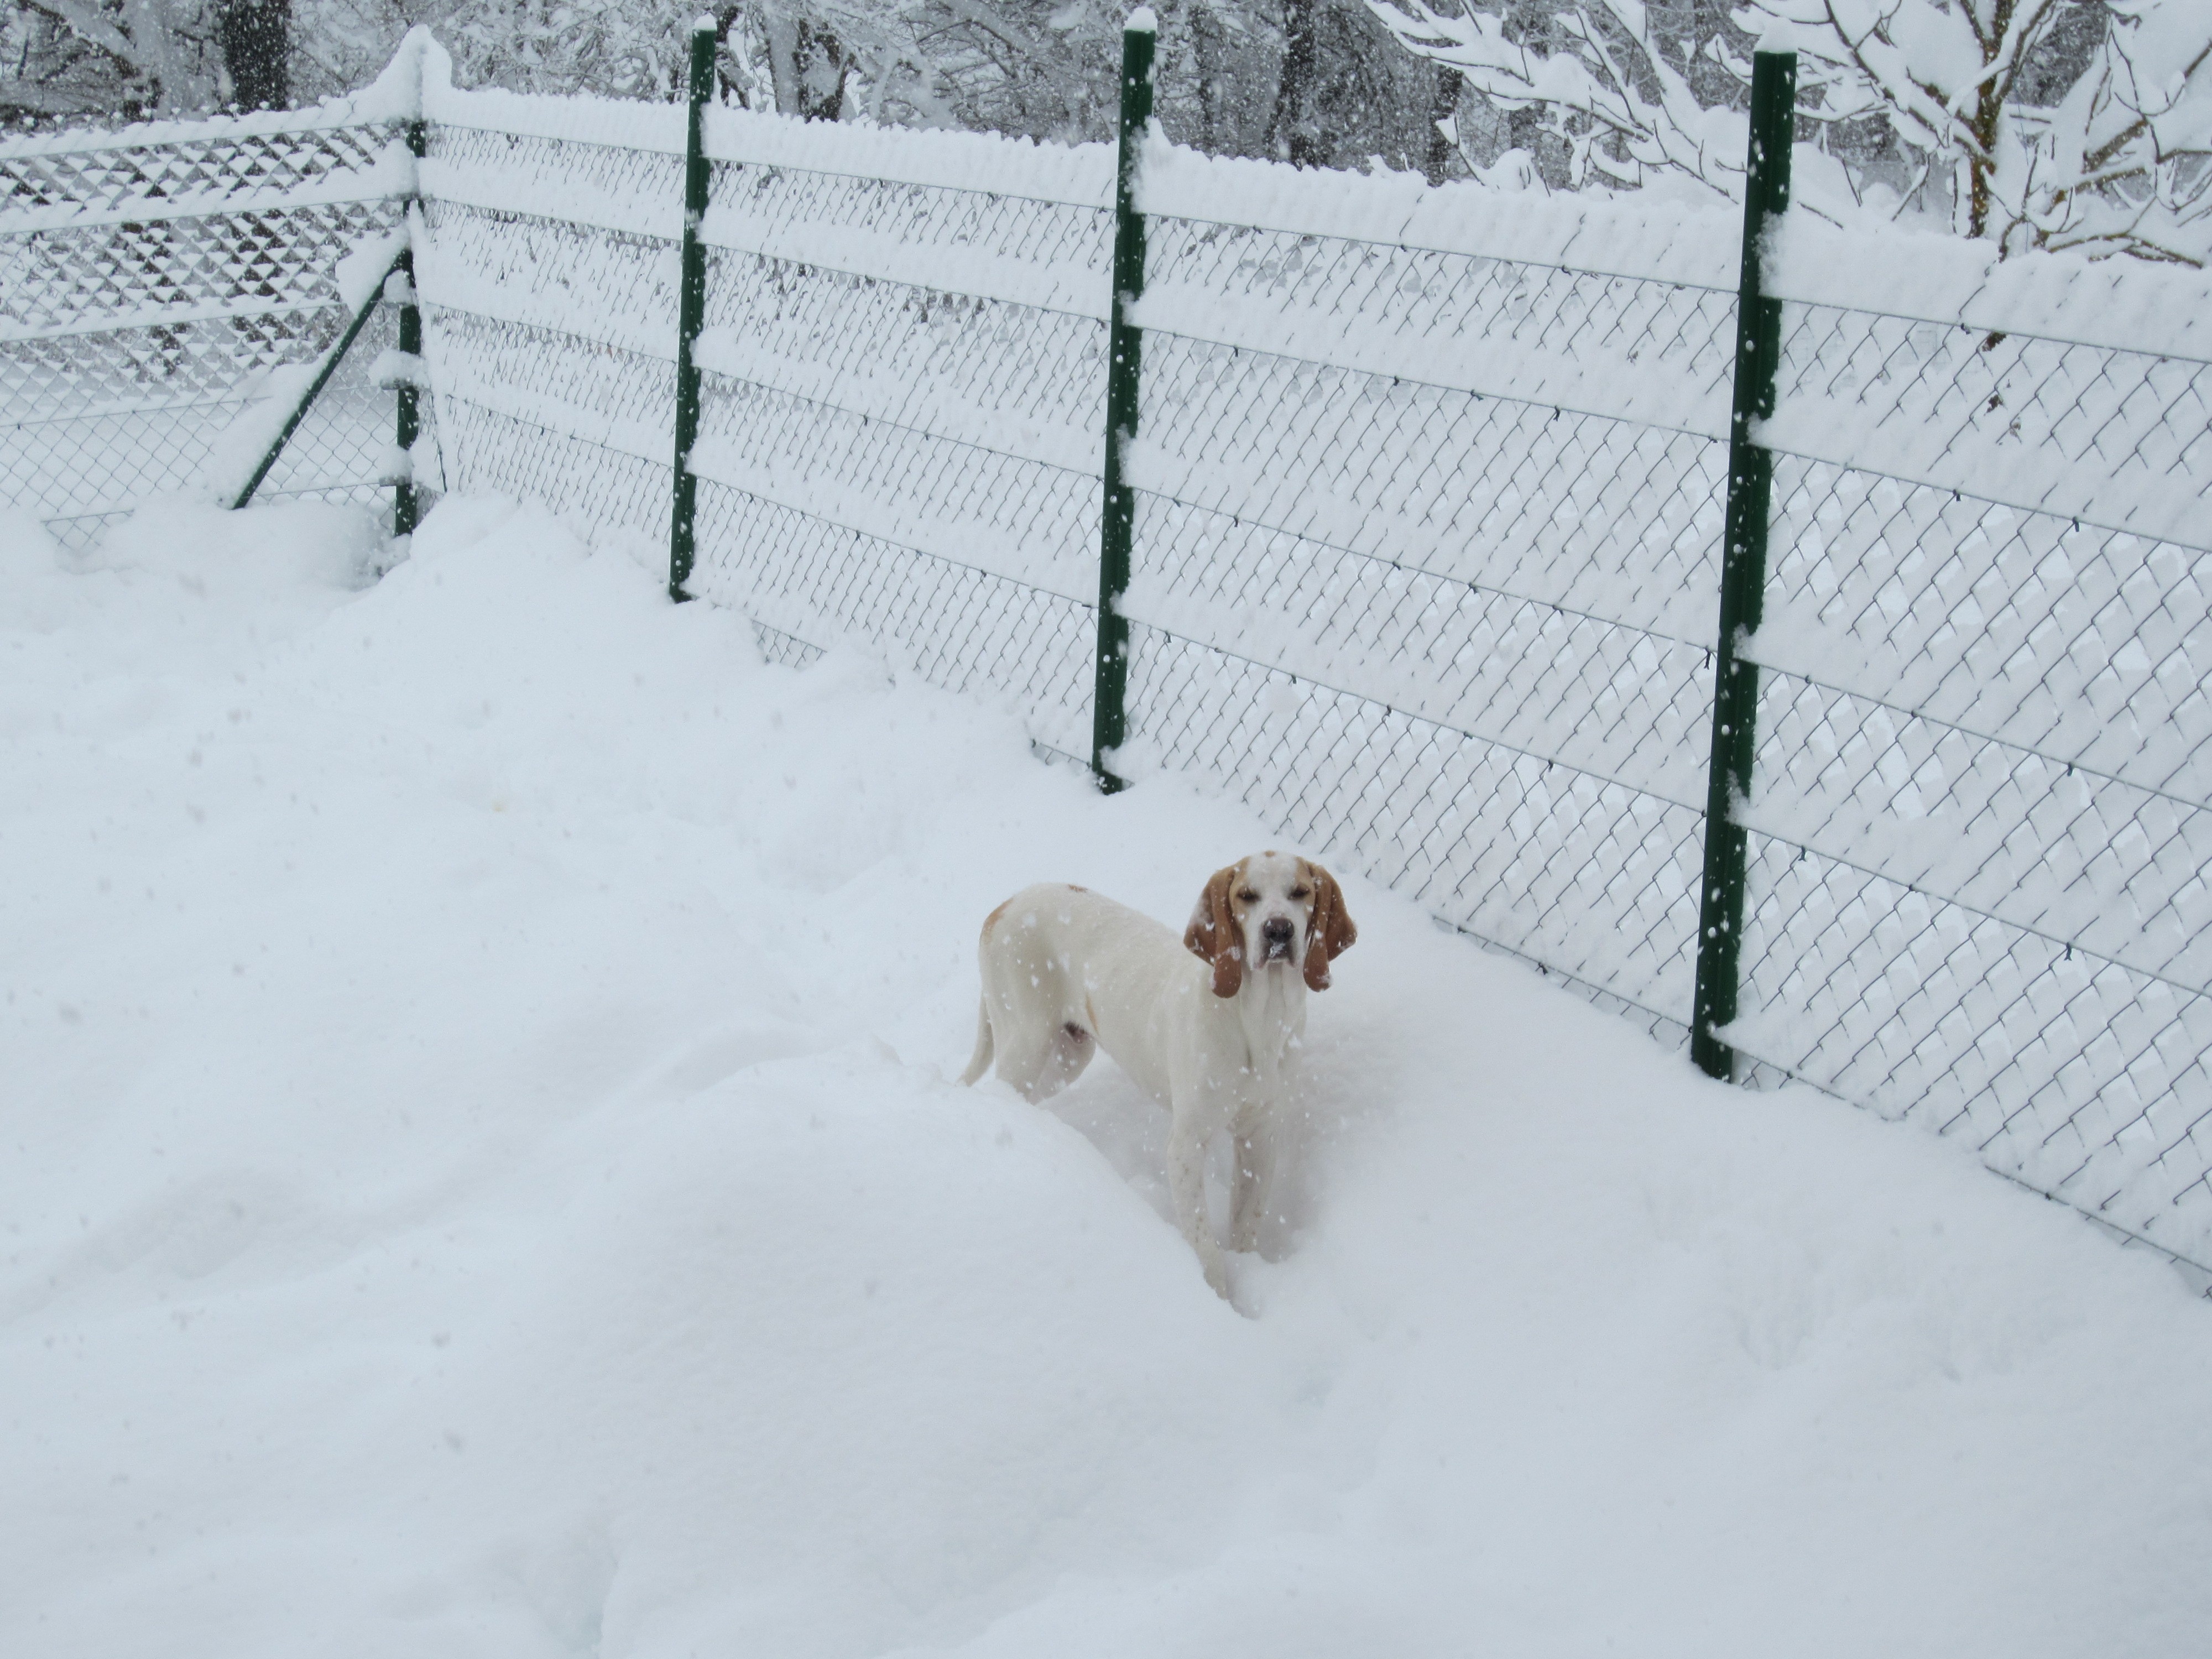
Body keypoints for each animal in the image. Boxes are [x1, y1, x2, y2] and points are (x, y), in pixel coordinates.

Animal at [964, 858, 1354, 1301]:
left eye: (1300, 892)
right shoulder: (1186, 1145)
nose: (1278, 930)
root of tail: (1004, 906)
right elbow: (1205, 1246)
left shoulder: (1259, 1139)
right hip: (1027, 1042)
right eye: (1246, 896)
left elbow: (1246, 1227)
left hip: (1067, 1058)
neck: (1260, 1021)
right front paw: (1217, 1301)